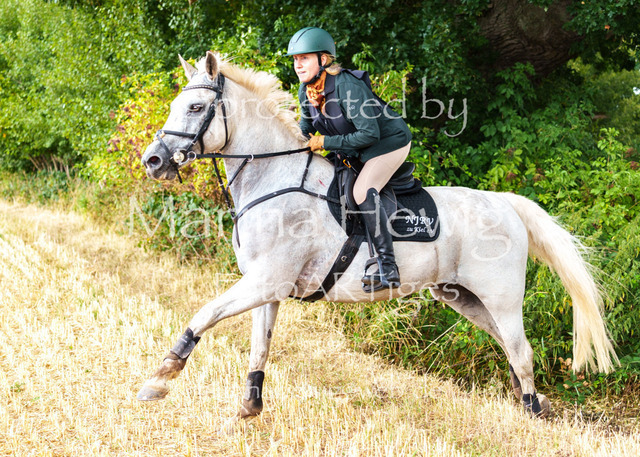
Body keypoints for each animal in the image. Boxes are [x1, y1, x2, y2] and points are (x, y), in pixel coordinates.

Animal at [138, 51, 617, 419]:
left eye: (195, 108)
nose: (153, 161)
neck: (274, 176)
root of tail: (505, 203)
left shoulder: (264, 281)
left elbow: (204, 314)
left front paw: (160, 378)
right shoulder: (267, 287)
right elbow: (259, 347)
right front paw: (249, 408)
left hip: (500, 296)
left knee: (521, 351)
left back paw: (533, 411)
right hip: (464, 297)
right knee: (511, 348)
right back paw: (533, 403)